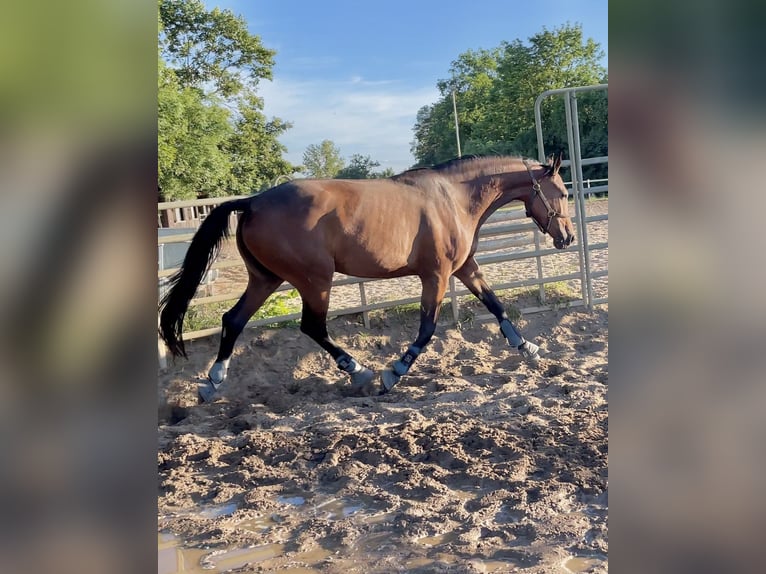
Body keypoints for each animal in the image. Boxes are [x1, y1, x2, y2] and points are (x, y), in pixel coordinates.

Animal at [158, 155, 576, 402]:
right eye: (562, 192)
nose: (568, 237)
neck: (454, 199)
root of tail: (253, 201)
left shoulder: (464, 267)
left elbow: (496, 304)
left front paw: (529, 348)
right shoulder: (436, 275)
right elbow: (427, 329)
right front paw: (394, 373)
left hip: (266, 279)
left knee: (233, 319)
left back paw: (213, 381)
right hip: (315, 280)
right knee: (312, 326)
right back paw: (359, 371)